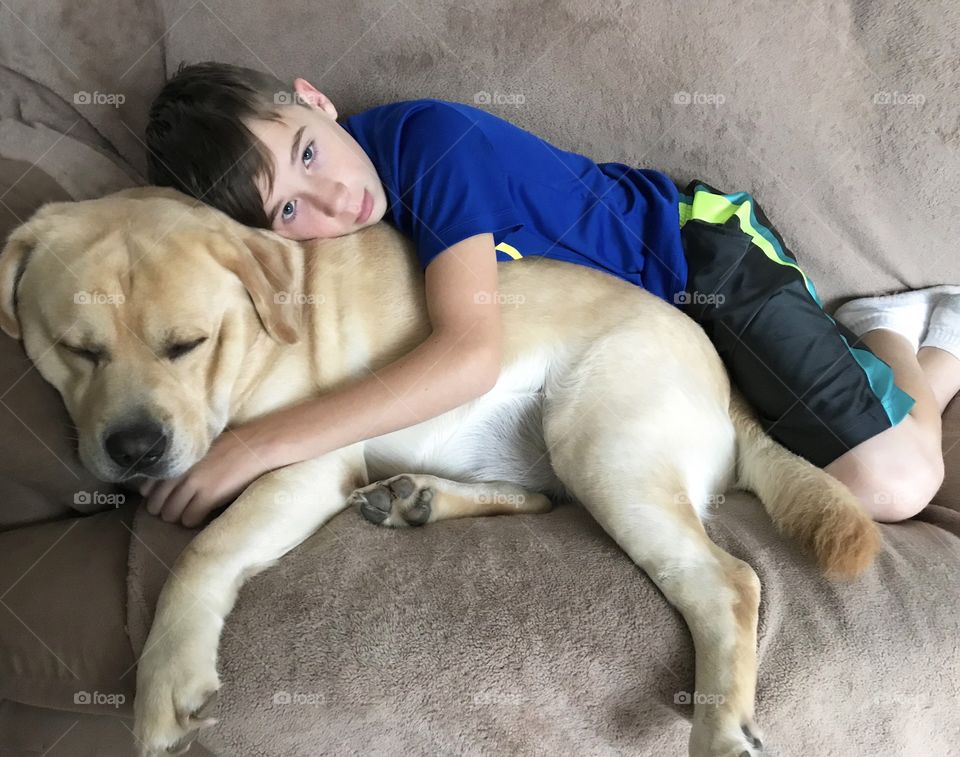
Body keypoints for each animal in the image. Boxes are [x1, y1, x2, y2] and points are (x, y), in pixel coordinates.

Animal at [0, 188, 880, 756]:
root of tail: (731, 387)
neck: (264, 318)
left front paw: (165, 677)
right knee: (538, 499)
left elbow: (202, 553)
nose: (135, 448)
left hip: (602, 442)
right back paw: (415, 498)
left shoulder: (305, 463)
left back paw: (720, 726)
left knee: (727, 581)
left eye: (189, 343)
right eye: (77, 349)